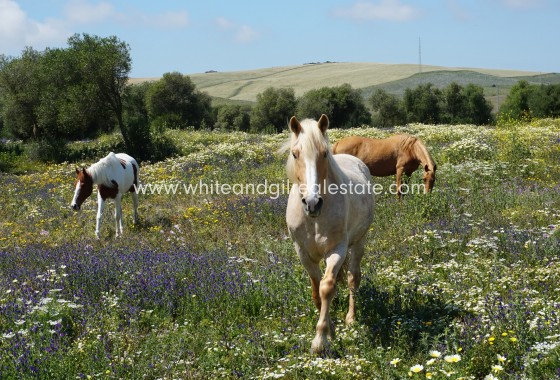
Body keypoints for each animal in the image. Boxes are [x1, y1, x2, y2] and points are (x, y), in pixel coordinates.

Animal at [284, 114, 372, 354]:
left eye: (324, 153)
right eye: (295, 154)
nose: (312, 203)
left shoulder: (337, 249)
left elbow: (327, 287)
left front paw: (321, 339)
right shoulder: (303, 252)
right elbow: (316, 291)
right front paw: (331, 330)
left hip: (359, 242)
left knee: (353, 278)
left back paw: (351, 318)